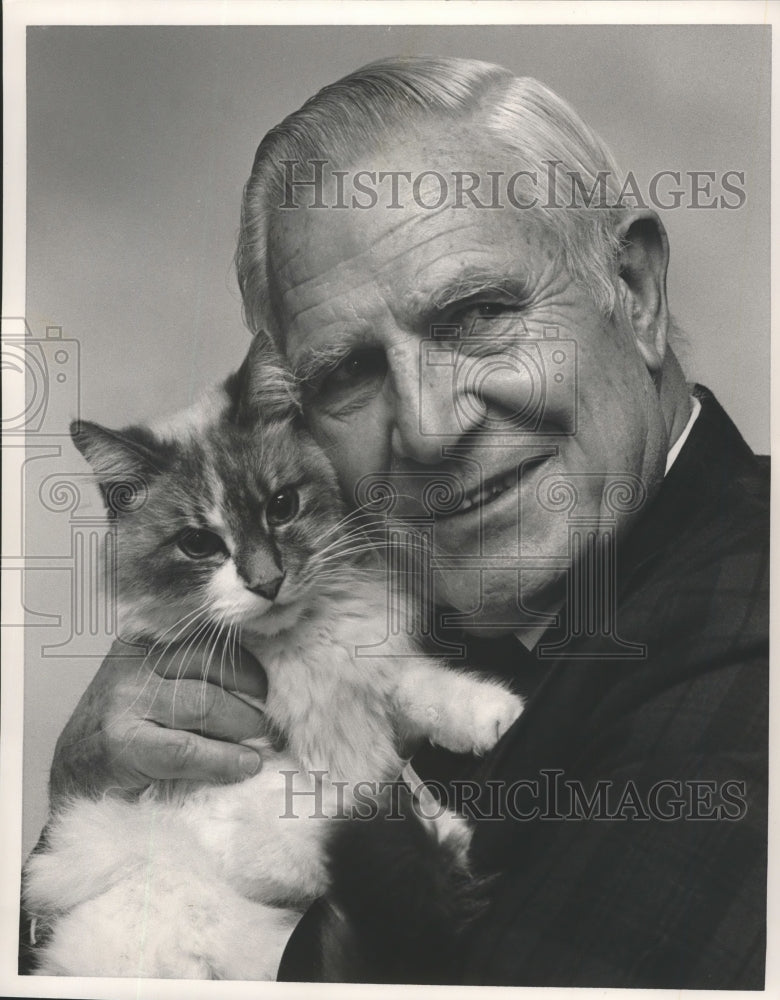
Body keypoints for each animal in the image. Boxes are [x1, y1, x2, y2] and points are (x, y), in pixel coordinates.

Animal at [24, 336, 524, 976]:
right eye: (198, 544)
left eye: (281, 507)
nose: (267, 583)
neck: (300, 644)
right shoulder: (245, 796)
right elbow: (337, 817)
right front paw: (440, 832)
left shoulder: (361, 683)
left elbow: (421, 690)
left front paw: (496, 716)